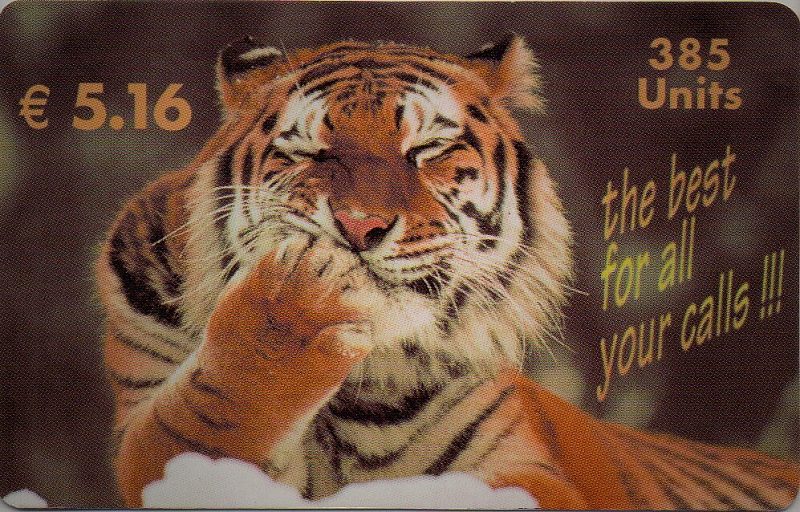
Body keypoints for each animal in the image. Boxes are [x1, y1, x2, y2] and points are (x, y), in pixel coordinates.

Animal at [96, 34, 799, 509]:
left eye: (427, 149)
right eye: (312, 151)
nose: (360, 227)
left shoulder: (525, 464)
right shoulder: (157, 439)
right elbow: (203, 418)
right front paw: (295, 303)